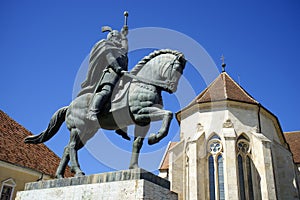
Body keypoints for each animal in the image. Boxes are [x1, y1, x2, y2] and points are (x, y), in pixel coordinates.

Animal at [25, 49, 185, 177]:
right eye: (177, 68)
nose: (172, 88)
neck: (143, 84)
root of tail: (69, 106)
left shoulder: (143, 121)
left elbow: (138, 143)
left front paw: (134, 167)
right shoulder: (140, 112)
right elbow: (168, 114)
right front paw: (155, 137)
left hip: (88, 132)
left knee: (67, 149)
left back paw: (59, 176)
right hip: (78, 128)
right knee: (72, 147)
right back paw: (78, 172)